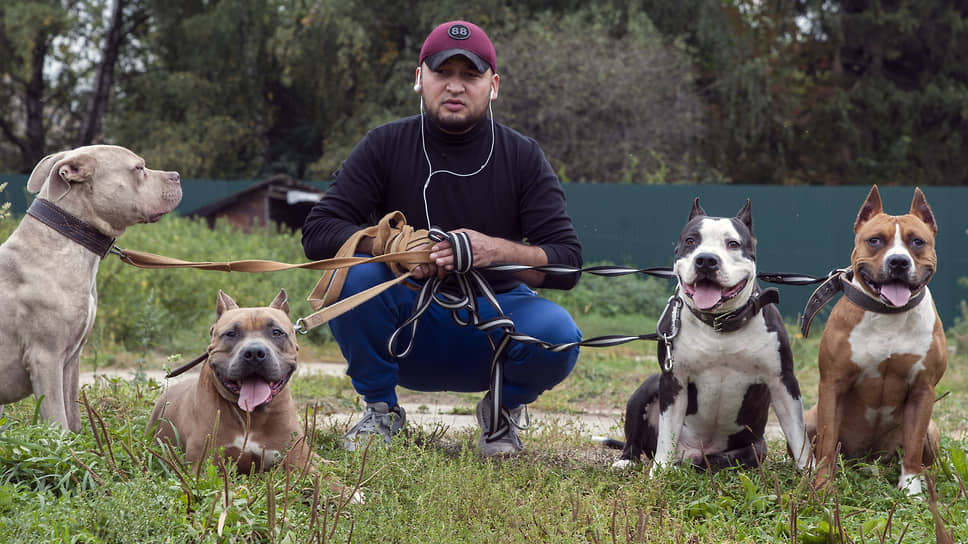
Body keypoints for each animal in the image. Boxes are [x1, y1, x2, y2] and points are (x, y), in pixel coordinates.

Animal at [0, 144, 182, 430]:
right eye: (139, 168)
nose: (177, 175)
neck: (68, 238)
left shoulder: (70, 362)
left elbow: (72, 414)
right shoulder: (45, 358)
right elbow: (58, 419)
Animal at [600, 200, 812, 472]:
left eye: (733, 243)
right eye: (691, 241)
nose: (706, 260)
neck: (719, 325)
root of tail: (691, 453)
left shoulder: (782, 381)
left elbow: (798, 435)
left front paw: (811, 474)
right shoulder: (674, 379)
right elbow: (666, 435)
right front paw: (659, 473)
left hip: (755, 448)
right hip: (648, 387)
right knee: (636, 441)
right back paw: (628, 460)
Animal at [800, 185, 944, 496]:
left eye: (917, 242)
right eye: (875, 240)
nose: (898, 261)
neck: (888, 315)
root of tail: (868, 458)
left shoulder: (923, 389)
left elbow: (913, 447)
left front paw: (911, 490)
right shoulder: (832, 384)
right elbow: (827, 443)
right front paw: (823, 487)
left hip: (932, 429)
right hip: (808, 420)